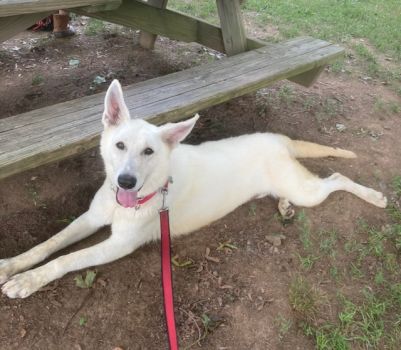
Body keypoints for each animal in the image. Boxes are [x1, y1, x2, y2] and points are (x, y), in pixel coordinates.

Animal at [0, 80, 388, 298]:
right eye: (120, 145)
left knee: (337, 178)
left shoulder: (118, 244)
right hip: (290, 185)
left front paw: (27, 281)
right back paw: (283, 207)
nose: (125, 182)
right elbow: (49, 245)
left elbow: (66, 259)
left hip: (308, 189)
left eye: (149, 152)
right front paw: (12, 265)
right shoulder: (92, 217)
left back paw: (374, 196)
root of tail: (278, 138)